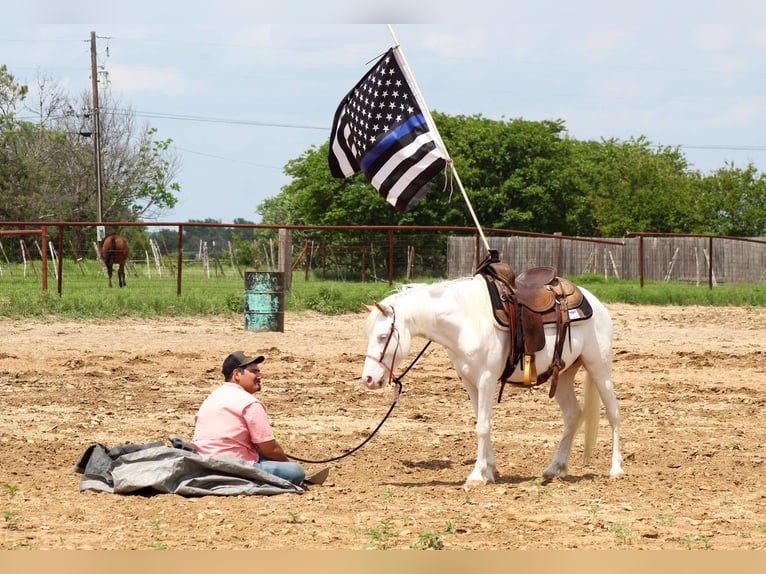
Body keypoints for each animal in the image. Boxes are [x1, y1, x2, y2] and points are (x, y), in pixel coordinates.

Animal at [361, 273, 624, 488]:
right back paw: (555, 468)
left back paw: (616, 469)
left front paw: (477, 475)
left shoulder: (486, 379)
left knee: (613, 412)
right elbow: (481, 421)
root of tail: (593, 301)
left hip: (599, 367)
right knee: (572, 415)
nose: (368, 379)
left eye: (383, 336)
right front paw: (489, 470)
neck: (466, 322)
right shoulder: (469, 381)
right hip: (564, 374)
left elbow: (483, 426)